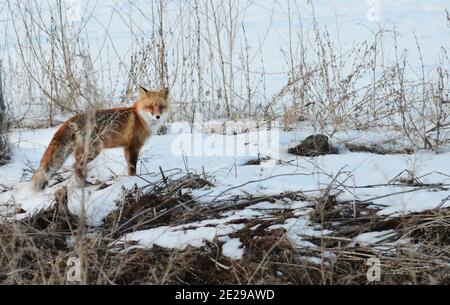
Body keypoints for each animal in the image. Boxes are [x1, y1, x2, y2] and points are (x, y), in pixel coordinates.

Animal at [30, 86, 170, 190]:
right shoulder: (133, 147)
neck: (140, 118)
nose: (157, 116)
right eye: (150, 107)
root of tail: (71, 119)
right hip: (94, 149)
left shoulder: (126, 148)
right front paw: (133, 181)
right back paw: (85, 186)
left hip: (81, 150)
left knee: (75, 167)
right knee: (76, 166)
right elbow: (132, 168)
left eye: (161, 107)